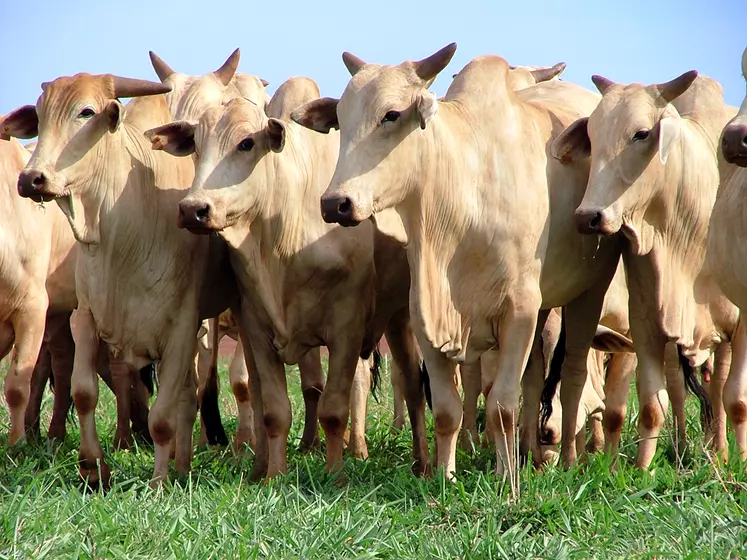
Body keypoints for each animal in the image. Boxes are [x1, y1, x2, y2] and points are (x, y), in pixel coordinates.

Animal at [1, 73, 238, 486]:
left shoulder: (180, 330)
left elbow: (162, 417)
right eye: (41, 115)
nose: (32, 179)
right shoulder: (84, 317)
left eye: (86, 112)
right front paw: (92, 466)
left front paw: (159, 482)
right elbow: (83, 392)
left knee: (191, 396)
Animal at [292, 46, 624, 480]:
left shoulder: (519, 312)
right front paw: (444, 475)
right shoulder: (426, 317)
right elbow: (448, 409)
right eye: (340, 118)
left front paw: (505, 479)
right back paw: (529, 451)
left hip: (590, 291)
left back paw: (568, 458)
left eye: (391, 115)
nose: (336, 203)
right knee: (536, 378)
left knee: (571, 377)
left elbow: (501, 407)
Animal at [552, 68, 740, 468]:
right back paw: (684, 449)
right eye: (592, 135)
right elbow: (654, 405)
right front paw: (641, 471)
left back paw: (719, 451)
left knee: (719, 387)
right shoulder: (646, 322)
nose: (588, 216)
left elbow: (736, 400)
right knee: (682, 388)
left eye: (641, 134)